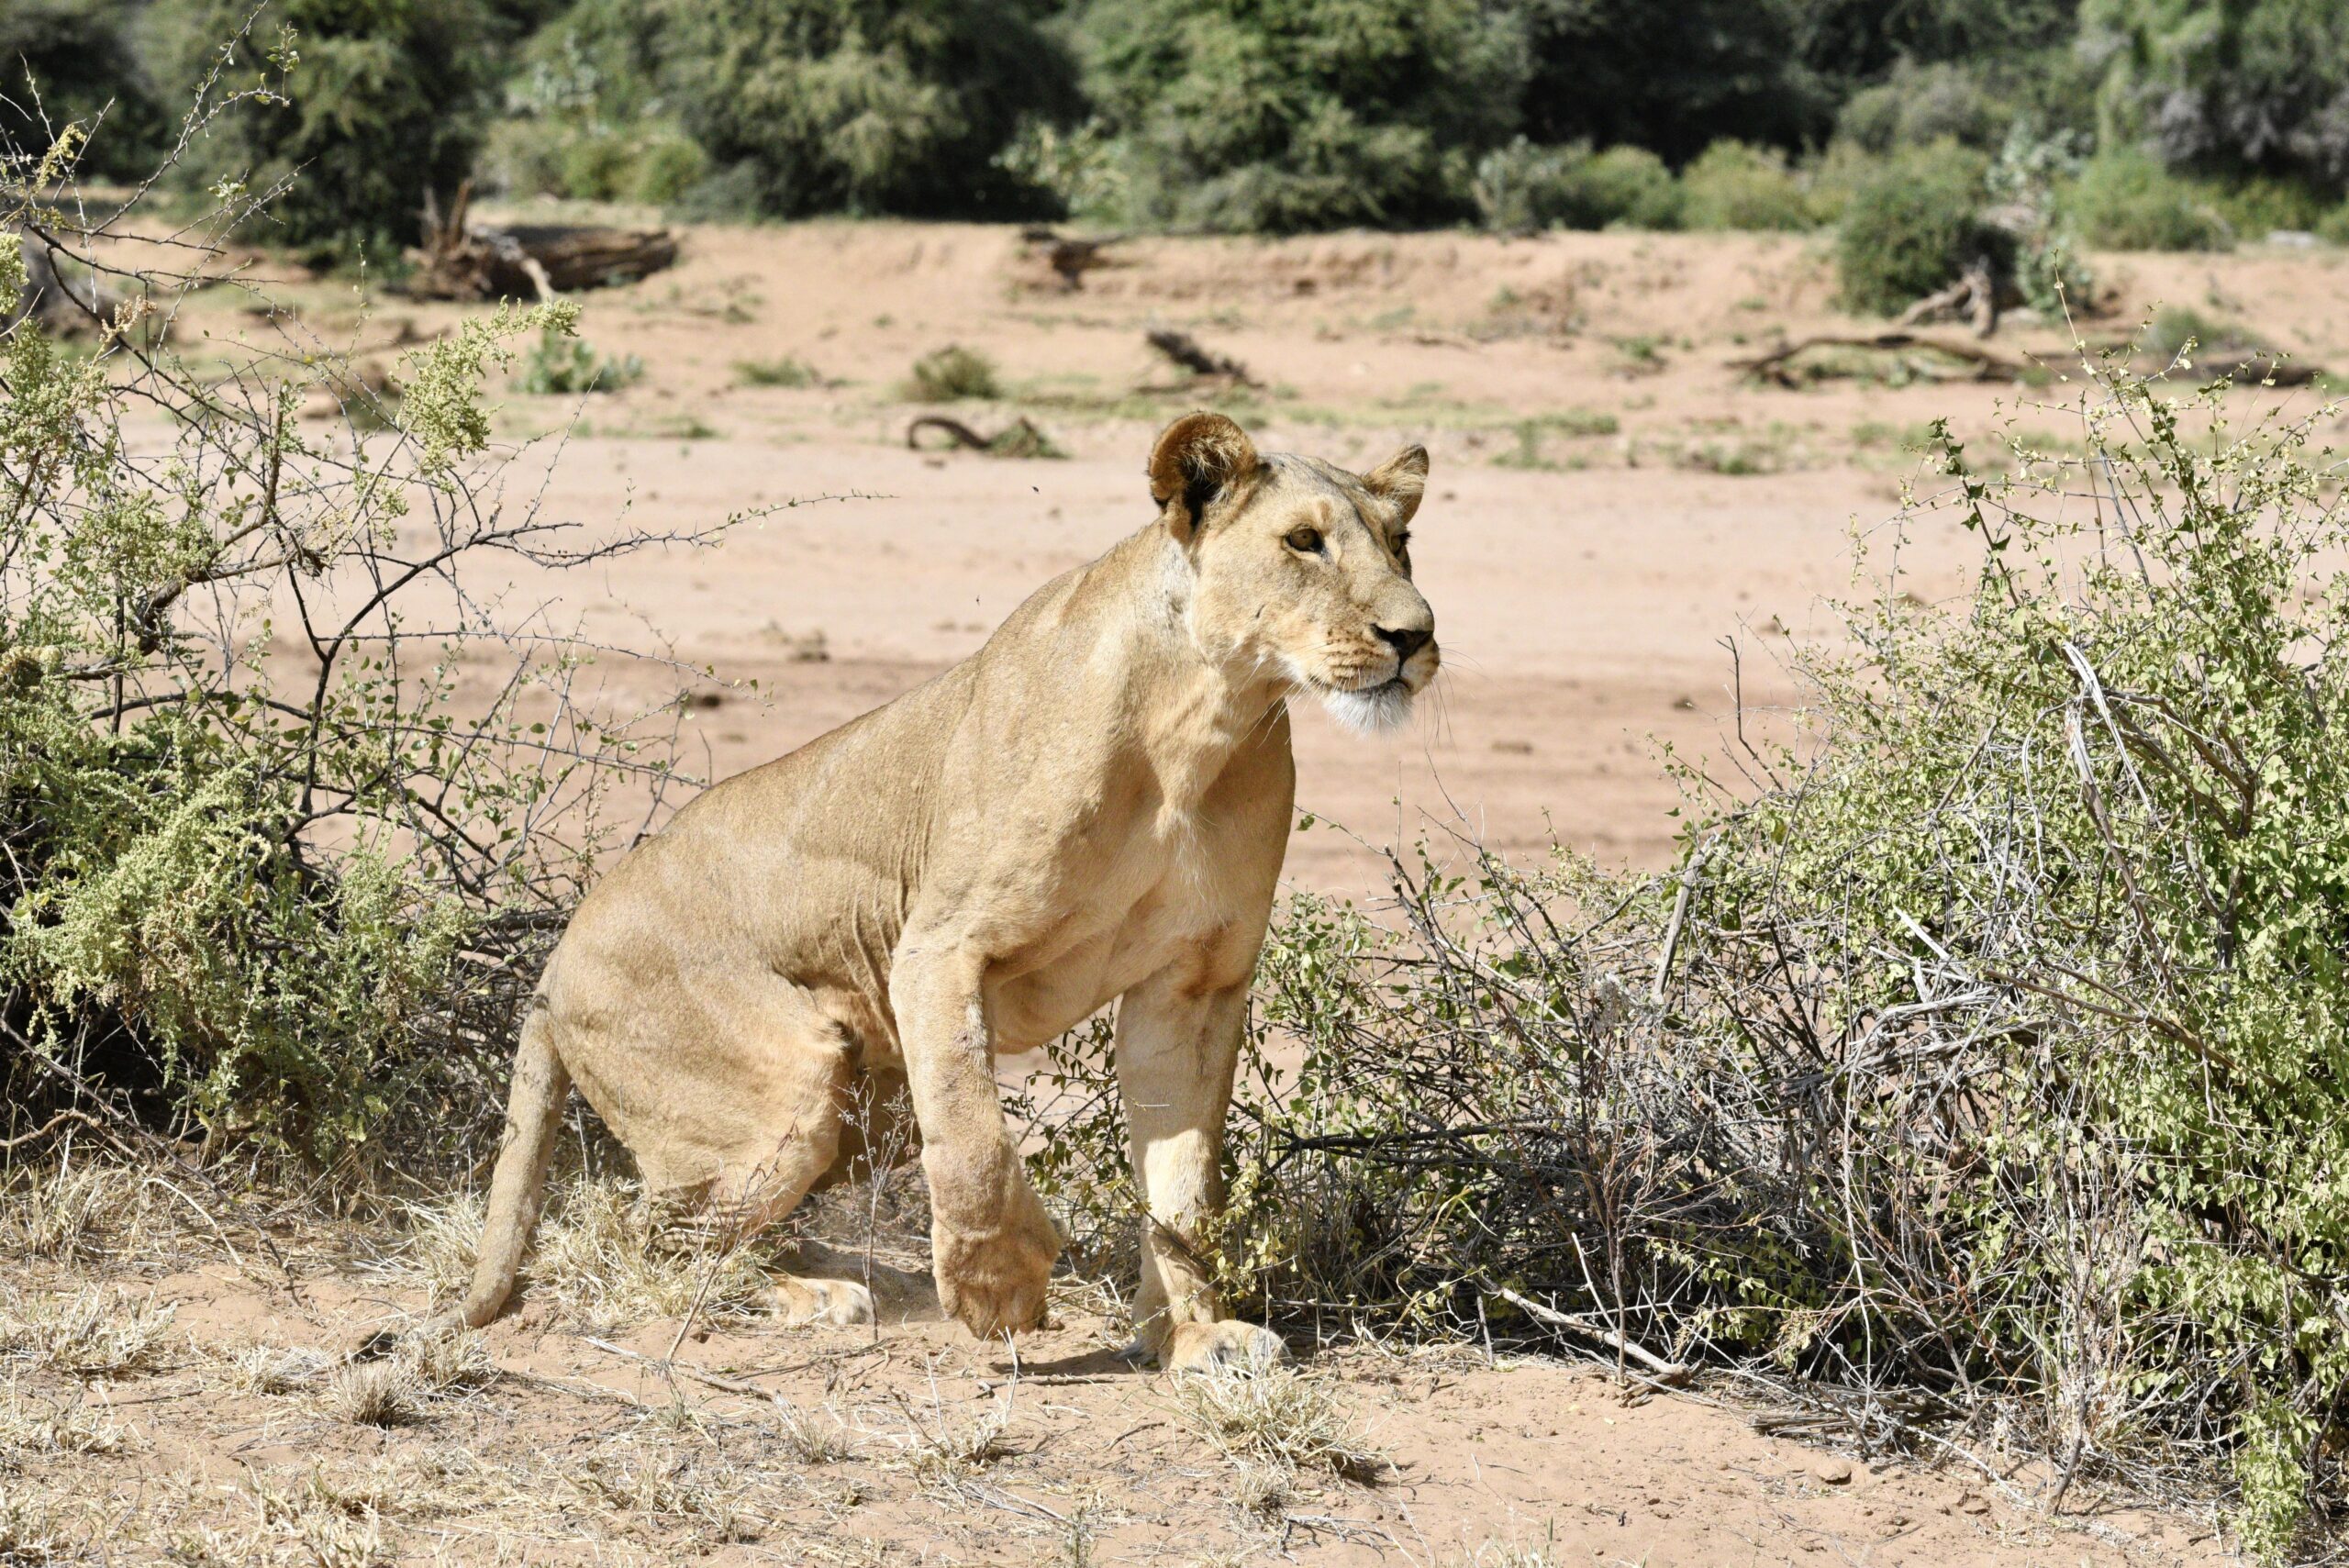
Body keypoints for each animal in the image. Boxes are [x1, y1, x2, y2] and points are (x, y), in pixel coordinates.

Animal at [451, 411, 1438, 1371]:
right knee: (641, 1229)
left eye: (1400, 542)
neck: (1204, 721)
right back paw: (811, 1295)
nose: (1416, 634)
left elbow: (1184, 1186)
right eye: (1304, 540)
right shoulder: (937, 945)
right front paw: (997, 1284)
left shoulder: (1192, 985)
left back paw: (844, 1278)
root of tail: (554, 961)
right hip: (792, 1083)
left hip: (866, 1105)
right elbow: (973, 1137)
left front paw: (1194, 1335)